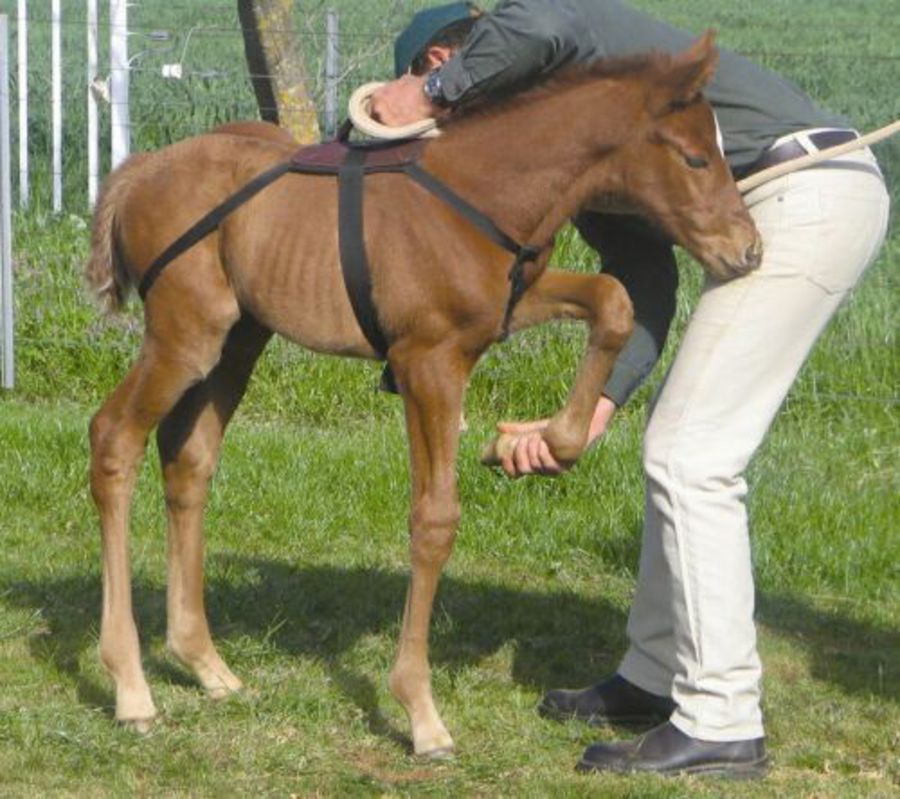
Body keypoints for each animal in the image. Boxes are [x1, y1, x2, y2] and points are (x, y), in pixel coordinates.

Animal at [85, 32, 761, 757]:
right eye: (696, 157)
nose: (748, 250)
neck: (482, 191)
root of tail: (139, 170)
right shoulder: (427, 362)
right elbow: (433, 520)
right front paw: (420, 711)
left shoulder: (502, 312)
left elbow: (613, 301)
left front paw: (541, 443)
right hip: (185, 335)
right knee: (115, 437)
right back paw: (130, 686)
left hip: (238, 341)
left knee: (187, 459)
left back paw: (205, 663)